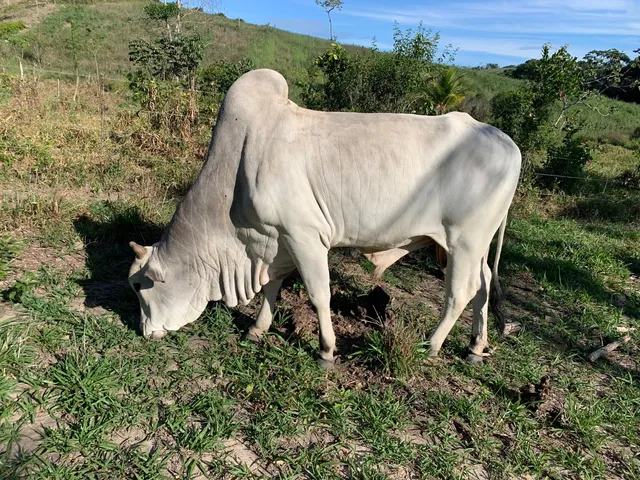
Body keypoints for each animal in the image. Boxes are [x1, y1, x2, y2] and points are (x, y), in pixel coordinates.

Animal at [128, 68, 521, 368]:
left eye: (138, 286)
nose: (144, 333)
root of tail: (509, 143)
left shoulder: (305, 236)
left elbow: (319, 295)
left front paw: (326, 350)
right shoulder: (277, 240)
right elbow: (272, 286)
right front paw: (257, 329)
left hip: (464, 241)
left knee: (460, 292)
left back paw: (433, 344)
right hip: (474, 246)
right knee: (484, 284)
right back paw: (475, 347)